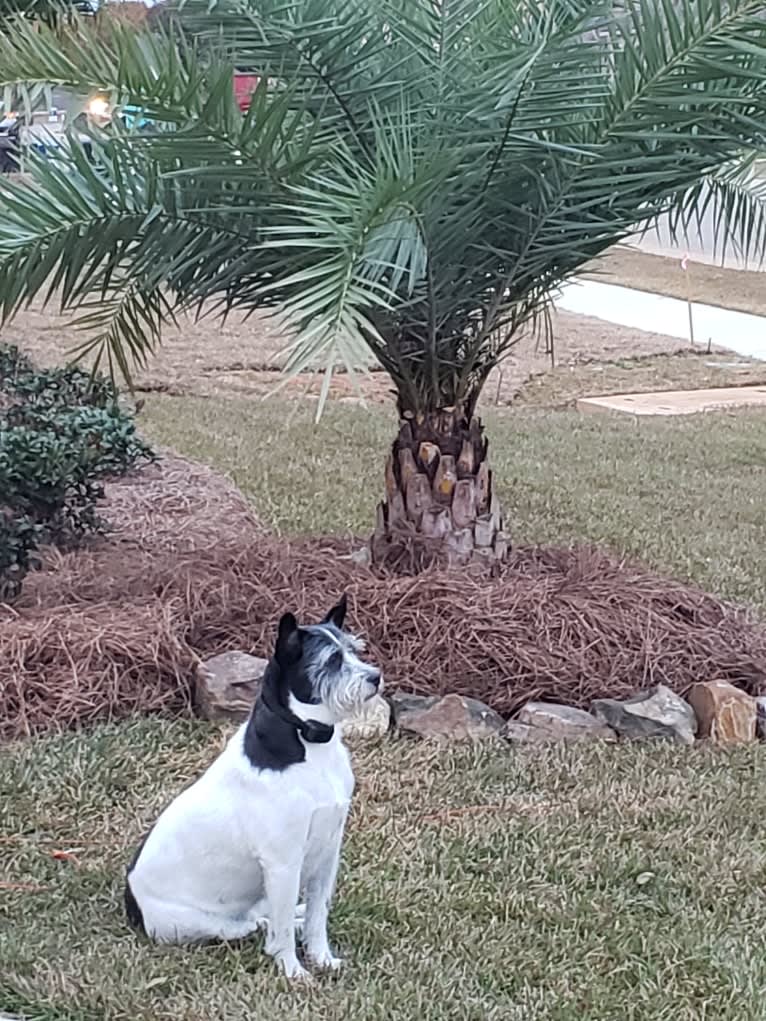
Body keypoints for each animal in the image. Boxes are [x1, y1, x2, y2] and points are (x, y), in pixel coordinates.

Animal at [123, 596, 384, 980]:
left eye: (353, 650)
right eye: (332, 661)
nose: (376, 677)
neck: (308, 741)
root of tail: (132, 906)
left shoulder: (327, 854)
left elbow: (318, 916)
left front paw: (322, 958)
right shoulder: (284, 862)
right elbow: (283, 931)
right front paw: (293, 971)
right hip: (200, 923)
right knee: (253, 925)